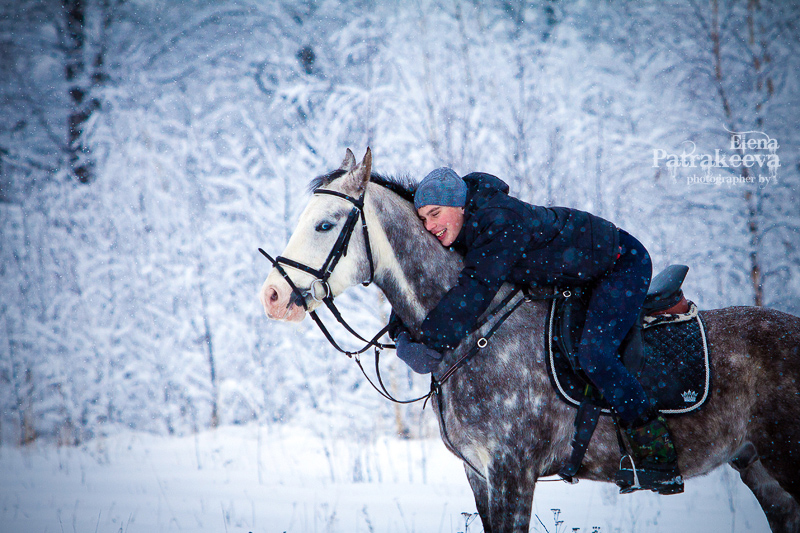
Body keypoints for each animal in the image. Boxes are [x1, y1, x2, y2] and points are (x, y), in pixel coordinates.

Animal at [260, 149, 800, 532]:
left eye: (324, 224)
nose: (272, 296)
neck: (478, 333)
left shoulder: (512, 472)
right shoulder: (480, 474)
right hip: (761, 469)